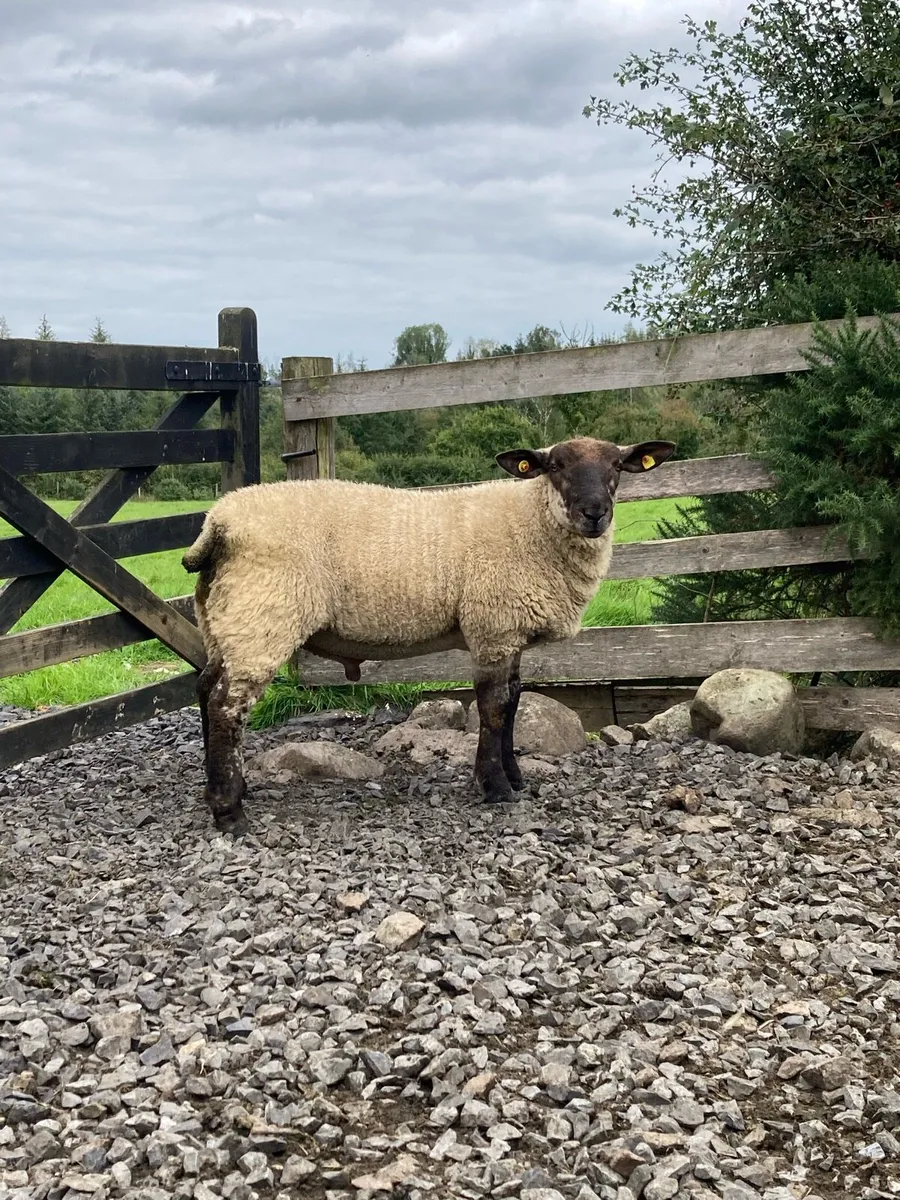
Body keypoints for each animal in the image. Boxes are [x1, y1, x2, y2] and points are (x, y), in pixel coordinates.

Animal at [183, 435, 676, 835]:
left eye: (616, 465)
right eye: (555, 465)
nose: (594, 513)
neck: (532, 524)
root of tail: (218, 523)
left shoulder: (509, 632)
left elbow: (514, 702)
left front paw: (514, 776)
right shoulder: (492, 627)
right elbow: (493, 708)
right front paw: (495, 787)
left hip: (226, 619)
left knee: (206, 688)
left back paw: (226, 789)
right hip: (263, 617)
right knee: (227, 707)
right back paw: (229, 812)